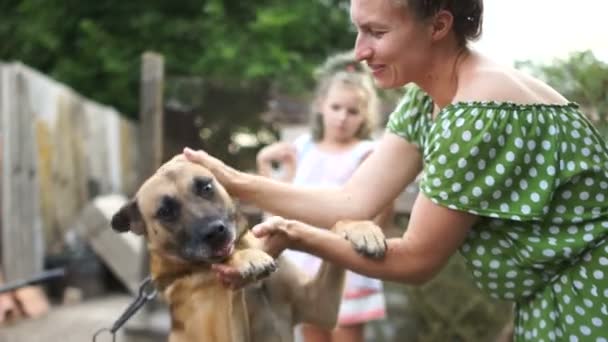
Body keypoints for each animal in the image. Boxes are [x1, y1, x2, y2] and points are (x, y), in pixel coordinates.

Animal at [110, 156, 384, 340]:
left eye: (206, 187)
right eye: (165, 212)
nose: (215, 232)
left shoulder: (321, 307)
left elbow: (337, 223)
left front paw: (360, 228)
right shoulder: (226, 333)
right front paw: (244, 259)